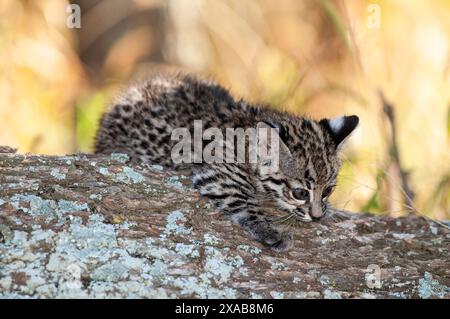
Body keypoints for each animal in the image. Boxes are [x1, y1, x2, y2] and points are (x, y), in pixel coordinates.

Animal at [96, 74, 358, 251]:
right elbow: (244, 202)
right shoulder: (220, 174)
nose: (317, 217)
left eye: (328, 190)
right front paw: (269, 230)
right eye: (300, 193)